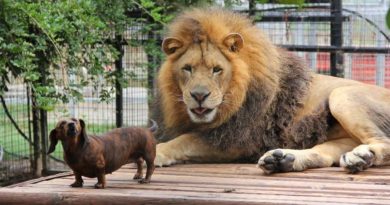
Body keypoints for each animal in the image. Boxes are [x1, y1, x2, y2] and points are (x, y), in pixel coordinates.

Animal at [151, 8, 390, 174]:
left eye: (217, 69)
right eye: (187, 69)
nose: (199, 96)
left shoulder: (238, 139)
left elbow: (185, 140)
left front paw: (157, 152)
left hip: (341, 96)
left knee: (384, 142)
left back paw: (363, 156)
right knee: (323, 154)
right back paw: (283, 160)